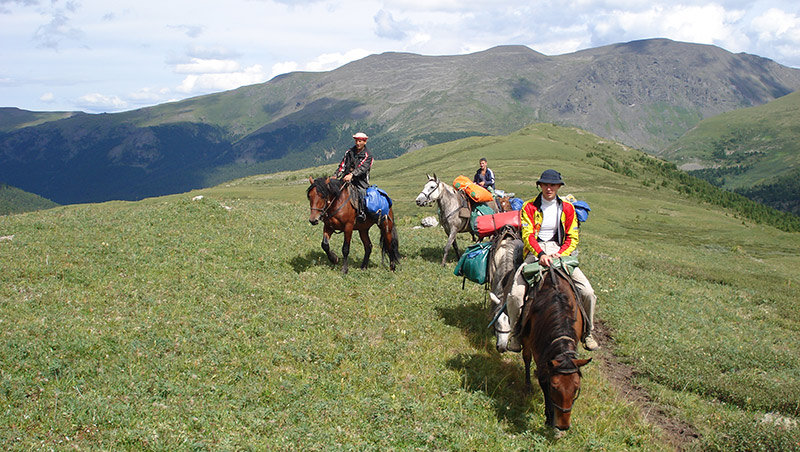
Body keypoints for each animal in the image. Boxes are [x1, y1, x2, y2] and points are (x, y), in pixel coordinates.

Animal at [520, 264, 592, 430]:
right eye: (554, 388)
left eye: (576, 389)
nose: (564, 426)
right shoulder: (541, 358)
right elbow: (543, 381)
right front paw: (549, 417)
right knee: (526, 357)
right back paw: (527, 385)